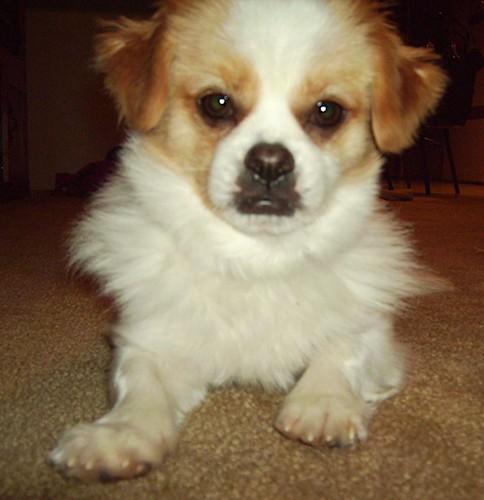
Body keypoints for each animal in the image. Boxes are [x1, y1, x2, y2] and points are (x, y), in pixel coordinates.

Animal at [49, 0, 446, 484]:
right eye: (216, 103)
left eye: (327, 111)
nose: (270, 161)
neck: (258, 259)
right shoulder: (148, 341)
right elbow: (140, 386)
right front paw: (120, 434)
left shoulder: (374, 336)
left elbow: (341, 348)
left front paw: (323, 402)